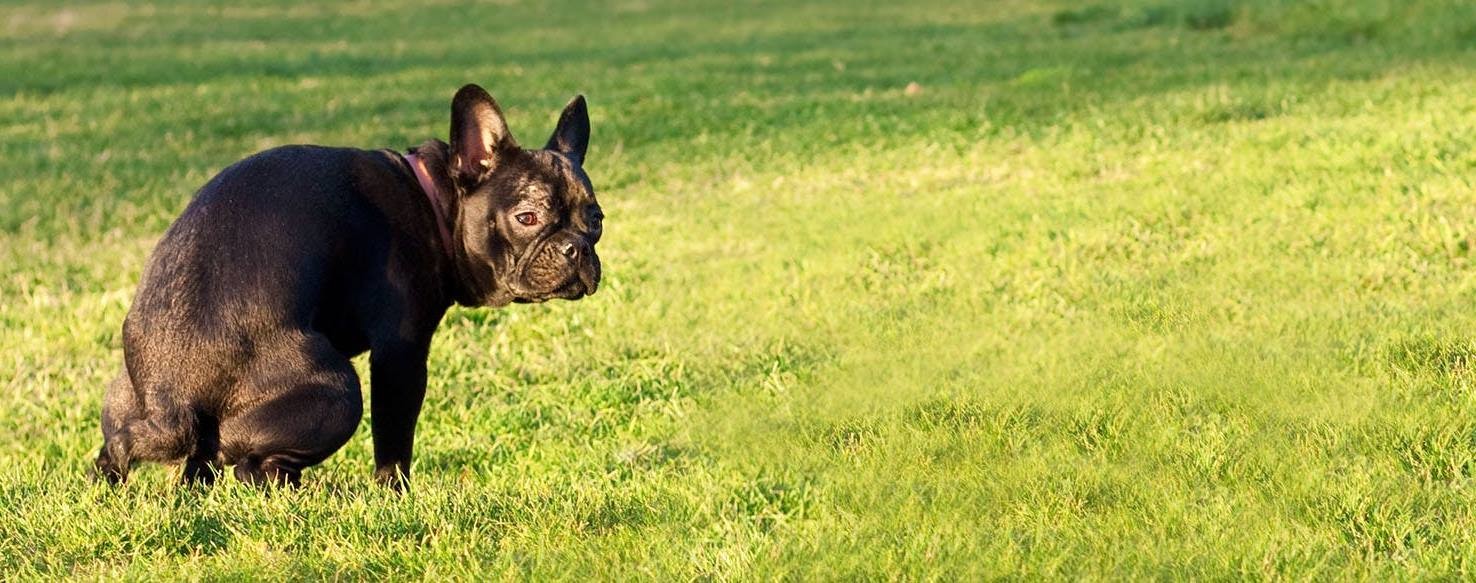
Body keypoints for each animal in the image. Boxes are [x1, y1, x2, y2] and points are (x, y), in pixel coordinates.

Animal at [93, 84, 599, 490]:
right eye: (527, 218)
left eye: (596, 220)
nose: (575, 248)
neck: (435, 199)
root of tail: (168, 400)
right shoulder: (401, 353)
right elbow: (395, 437)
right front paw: (394, 493)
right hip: (337, 392)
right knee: (249, 467)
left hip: (123, 399)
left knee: (136, 451)